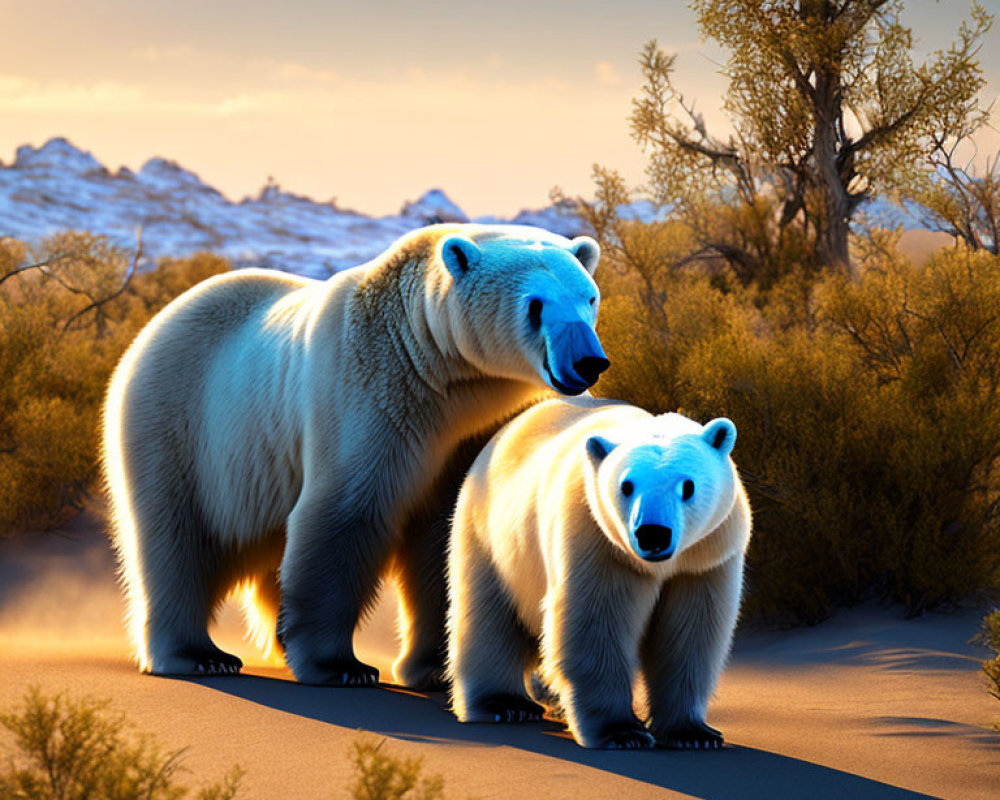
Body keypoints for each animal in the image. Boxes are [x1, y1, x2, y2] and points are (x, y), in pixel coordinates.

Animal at [105, 223, 612, 688]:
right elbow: (347, 513)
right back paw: (197, 654)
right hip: (180, 422)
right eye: (535, 304)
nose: (588, 361)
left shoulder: (484, 423)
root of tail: (151, 327)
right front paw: (340, 665)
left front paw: (434, 668)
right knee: (174, 537)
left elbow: (445, 534)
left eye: (589, 298)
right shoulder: (372, 389)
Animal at [446, 398, 752, 752]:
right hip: (491, 536)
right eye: (626, 485)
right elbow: (596, 626)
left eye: (687, 486)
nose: (653, 534)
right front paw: (622, 732)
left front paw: (692, 733)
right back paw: (504, 704)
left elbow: (691, 633)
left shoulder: (706, 557)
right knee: (487, 614)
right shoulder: (597, 540)